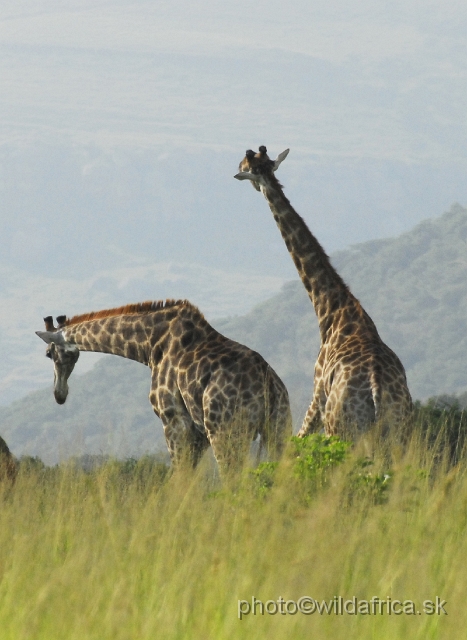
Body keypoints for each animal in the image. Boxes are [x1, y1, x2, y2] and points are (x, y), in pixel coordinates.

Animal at [36, 298, 290, 470]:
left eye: (48, 354)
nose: (59, 395)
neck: (149, 345)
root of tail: (267, 381)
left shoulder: (173, 420)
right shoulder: (198, 432)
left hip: (226, 431)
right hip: (277, 426)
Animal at [236, 146, 412, 438]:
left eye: (246, 164)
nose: (238, 169)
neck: (331, 308)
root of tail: (376, 391)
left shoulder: (316, 398)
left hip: (339, 427)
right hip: (398, 431)